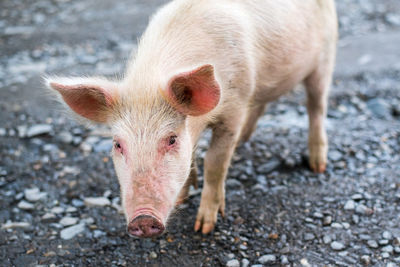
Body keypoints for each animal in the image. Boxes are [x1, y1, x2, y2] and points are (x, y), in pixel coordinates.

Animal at [46, 0, 338, 239]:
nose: (142, 219)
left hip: (324, 57)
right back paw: (244, 140)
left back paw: (317, 165)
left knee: (316, 106)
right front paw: (182, 200)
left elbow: (215, 162)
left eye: (171, 139)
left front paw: (204, 227)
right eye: (117, 144)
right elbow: (194, 158)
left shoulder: (234, 108)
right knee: (263, 104)